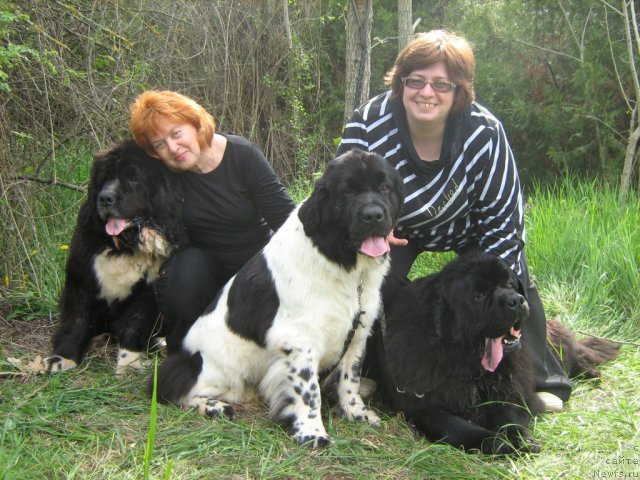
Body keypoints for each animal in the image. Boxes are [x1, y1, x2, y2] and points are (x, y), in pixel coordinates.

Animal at [42, 142, 185, 376]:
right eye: (105, 178)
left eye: (134, 178)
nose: (104, 198)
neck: (124, 245)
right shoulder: (81, 278)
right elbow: (76, 321)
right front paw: (63, 357)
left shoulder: (147, 290)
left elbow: (134, 324)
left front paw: (128, 363)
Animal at [151, 149, 402, 446]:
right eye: (347, 192)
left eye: (385, 187)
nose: (373, 215)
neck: (343, 262)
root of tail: (189, 354)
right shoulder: (299, 338)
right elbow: (309, 391)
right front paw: (312, 433)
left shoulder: (358, 330)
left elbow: (349, 376)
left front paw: (356, 412)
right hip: (219, 371)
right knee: (177, 388)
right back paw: (214, 407)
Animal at [370, 255, 620, 454]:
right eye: (478, 295)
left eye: (509, 283)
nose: (516, 300)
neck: (466, 362)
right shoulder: (422, 406)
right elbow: (455, 426)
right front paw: (495, 442)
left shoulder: (508, 388)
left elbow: (510, 415)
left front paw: (520, 438)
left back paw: (592, 372)